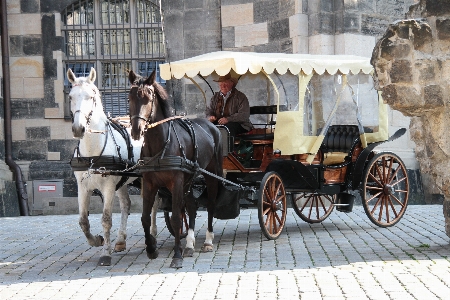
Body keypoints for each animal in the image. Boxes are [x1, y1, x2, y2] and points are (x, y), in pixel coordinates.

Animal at [67, 67, 158, 264]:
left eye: (91, 96)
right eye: (70, 96)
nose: (78, 128)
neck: (92, 152)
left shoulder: (108, 186)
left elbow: (106, 219)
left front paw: (105, 254)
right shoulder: (82, 187)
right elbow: (83, 221)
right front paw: (97, 241)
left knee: (154, 203)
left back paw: (153, 234)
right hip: (122, 181)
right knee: (126, 204)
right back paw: (121, 240)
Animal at [127, 71, 222, 270]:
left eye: (148, 98)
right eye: (129, 97)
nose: (137, 130)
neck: (160, 144)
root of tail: (212, 126)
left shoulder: (176, 182)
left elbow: (177, 218)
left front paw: (176, 256)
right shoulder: (150, 184)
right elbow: (145, 218)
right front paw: (151, 249)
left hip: (211, 174)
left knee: (210, 204)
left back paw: (208, 241)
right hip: (189, 179)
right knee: (191, 207)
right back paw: (190, 245)